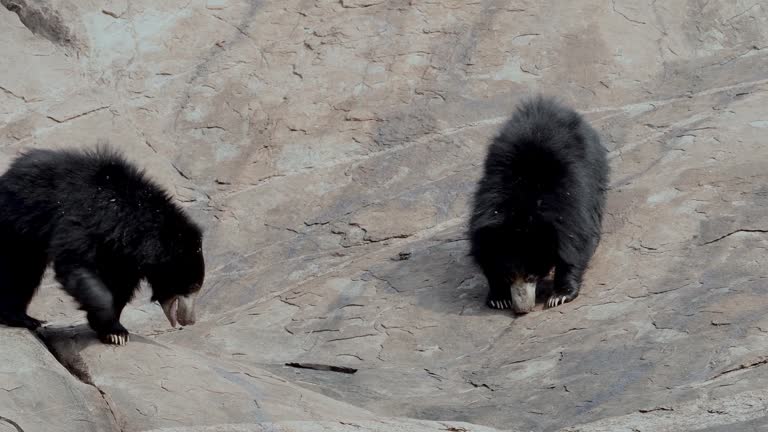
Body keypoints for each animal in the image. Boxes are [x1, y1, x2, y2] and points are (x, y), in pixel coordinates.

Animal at [0, 147, 204, 346]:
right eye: (193, 286)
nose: (190, 320)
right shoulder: (86, 217)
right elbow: (77, 264)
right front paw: (115, 331)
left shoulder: (124, 254)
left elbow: (120, 284)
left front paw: (111, 331)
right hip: (18, 222)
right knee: (20, 269)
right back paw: (23, 319)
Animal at [472, 96, 608, 314]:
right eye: (509, 276)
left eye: (531, 276)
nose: (522, 309)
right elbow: (486, 257)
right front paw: (499, 298)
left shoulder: (570, 205)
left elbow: (575, 246)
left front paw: (559, 296)